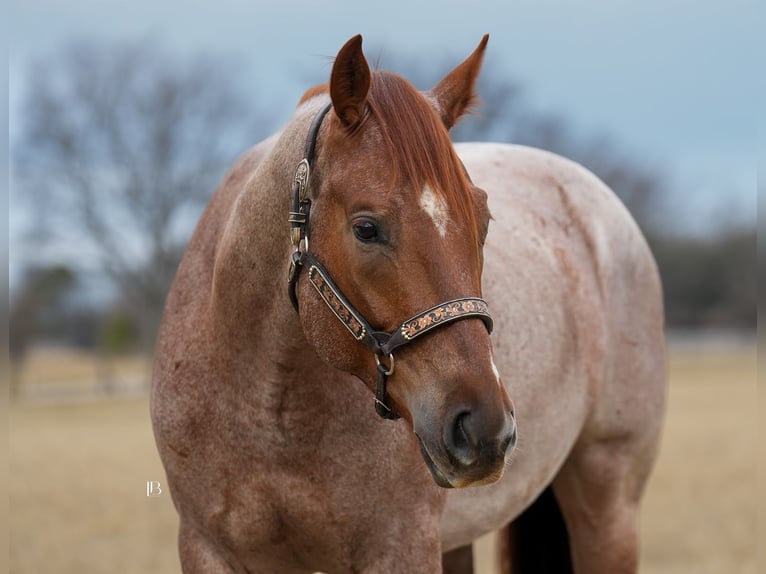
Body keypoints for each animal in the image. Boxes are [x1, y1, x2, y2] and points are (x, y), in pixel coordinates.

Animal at [151, 34, 665, 573]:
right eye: (366, 228)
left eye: (484, 221)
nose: (485, 428)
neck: (269, 411)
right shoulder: (210, 548)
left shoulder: (401, 548)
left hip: (609, 508)